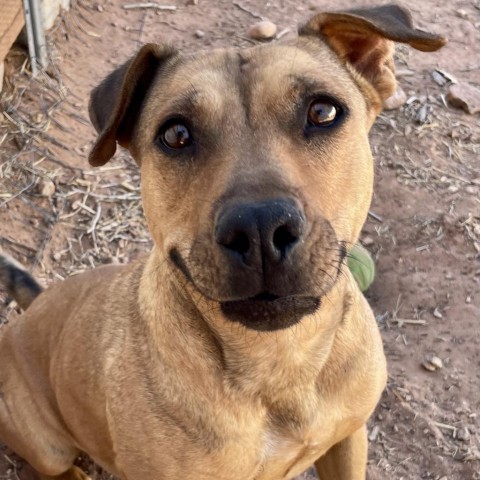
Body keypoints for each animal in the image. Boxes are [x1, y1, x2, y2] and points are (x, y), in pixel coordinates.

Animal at [0, 4, 446, 480]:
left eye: (323, 111)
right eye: (176, 134)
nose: (259, 227)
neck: (281, 359)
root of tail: (36, 305)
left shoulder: (348, 438)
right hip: (45, 443)